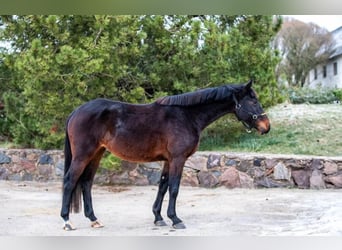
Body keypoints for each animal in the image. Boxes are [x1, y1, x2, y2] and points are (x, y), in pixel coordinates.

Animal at [60, 80, 270, 230]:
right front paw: (175, 219)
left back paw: (94, 219)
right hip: (82, 155)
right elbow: (174, 188)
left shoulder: (169, 160)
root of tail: (76, 111)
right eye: (253, 101)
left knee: (86, 183)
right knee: (70, 181)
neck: (186, 116)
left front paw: (158, 217)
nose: (266, 126)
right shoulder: (178, 159)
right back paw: (67, 221)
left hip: (96, 154)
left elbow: (162, 186)